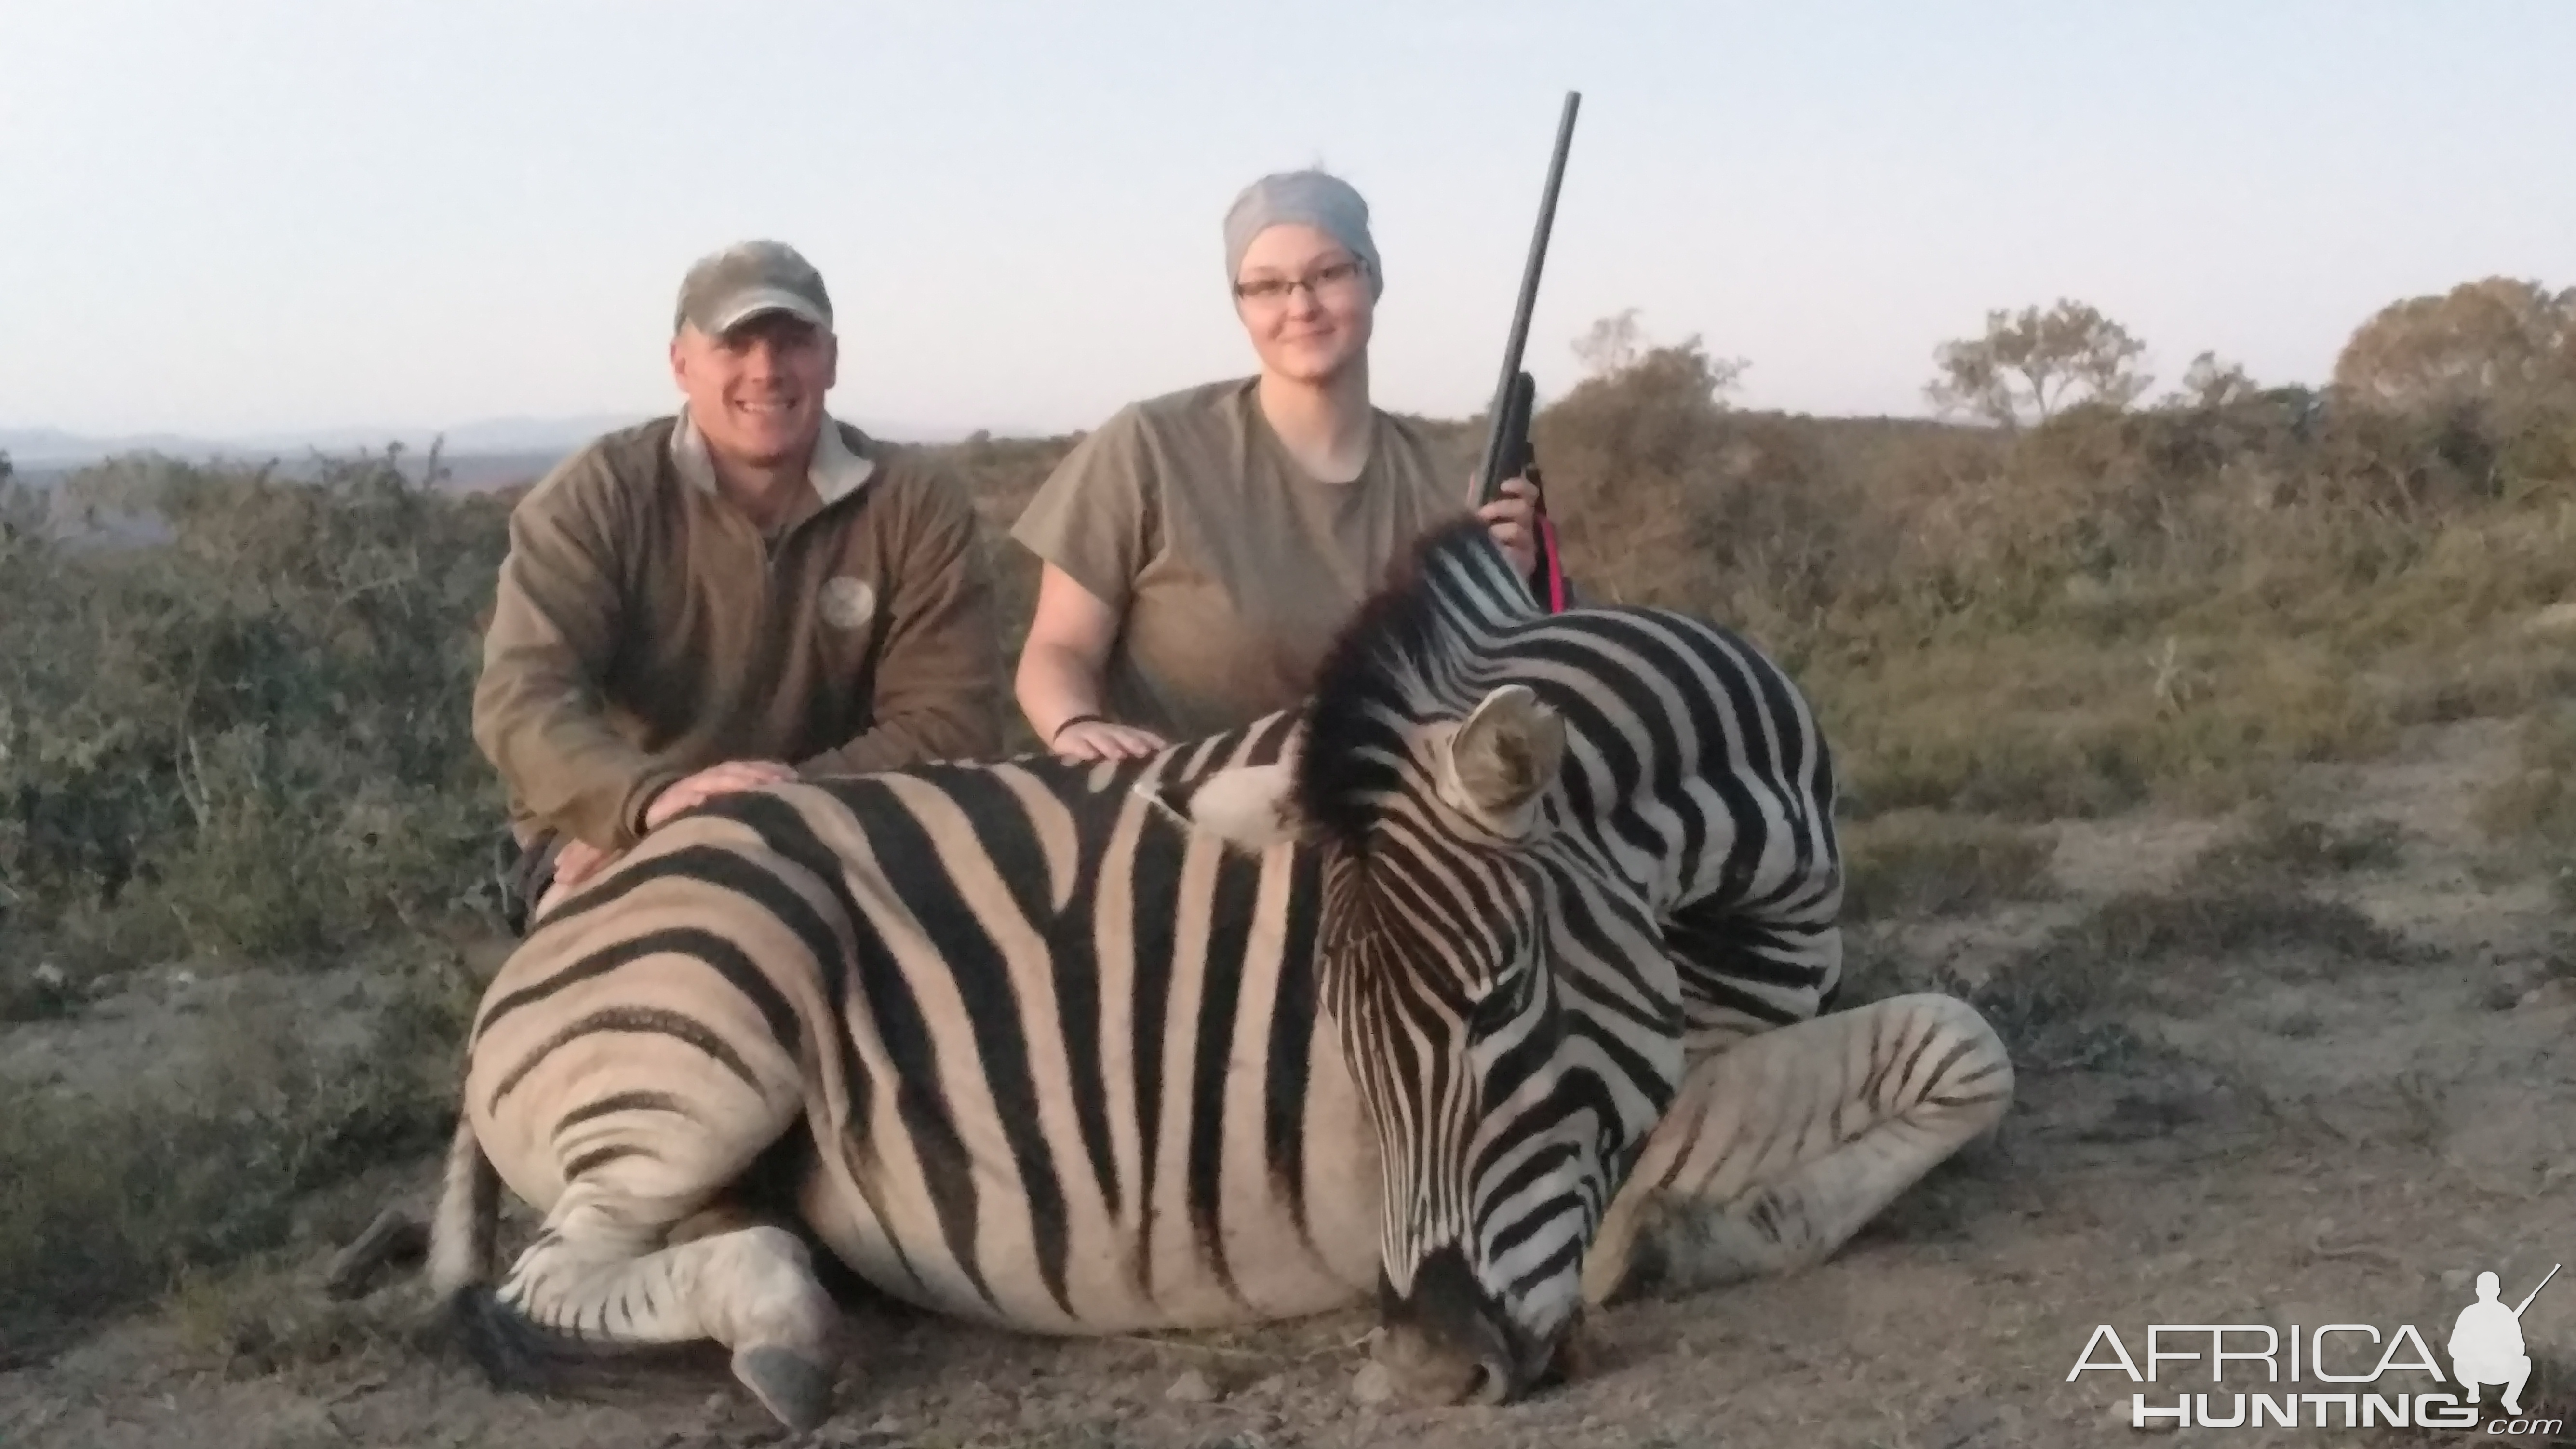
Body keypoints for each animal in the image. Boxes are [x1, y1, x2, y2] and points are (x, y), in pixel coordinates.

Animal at [432, 508, 2019, 1423]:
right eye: (1344, 1038)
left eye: (1504, 1002)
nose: (1427, 1373)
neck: (1748, 896)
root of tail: (577, 908)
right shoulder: (1660, 1101)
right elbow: (1958, 1043)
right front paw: (1698, 1236)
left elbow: (1954, 1050)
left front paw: (1733, 1227)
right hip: (714, 1016)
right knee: (546, 1278)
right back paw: (781, 1333)